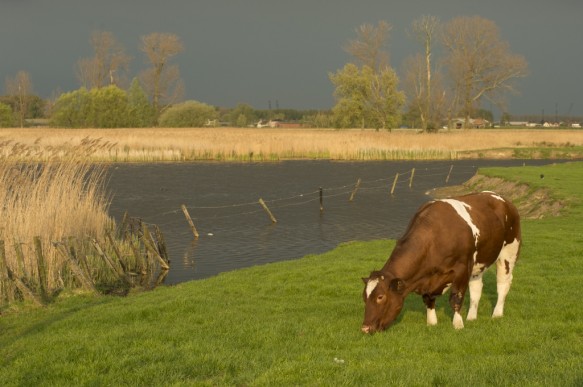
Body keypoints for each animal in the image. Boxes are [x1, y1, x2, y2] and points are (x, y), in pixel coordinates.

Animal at [362, 191, 524, 334]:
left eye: (380, 297)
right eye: (364, 297)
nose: (365, 328)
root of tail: (502, 199)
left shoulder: (462, 268)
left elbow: (456, 298)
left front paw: (458, 324)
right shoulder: (429, 278)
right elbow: (428, 299)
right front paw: (432, 322)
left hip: (509, 252)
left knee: (503, 283)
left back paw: (497, 314)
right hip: (478, 263)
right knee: (476, 288)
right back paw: (471, 317)